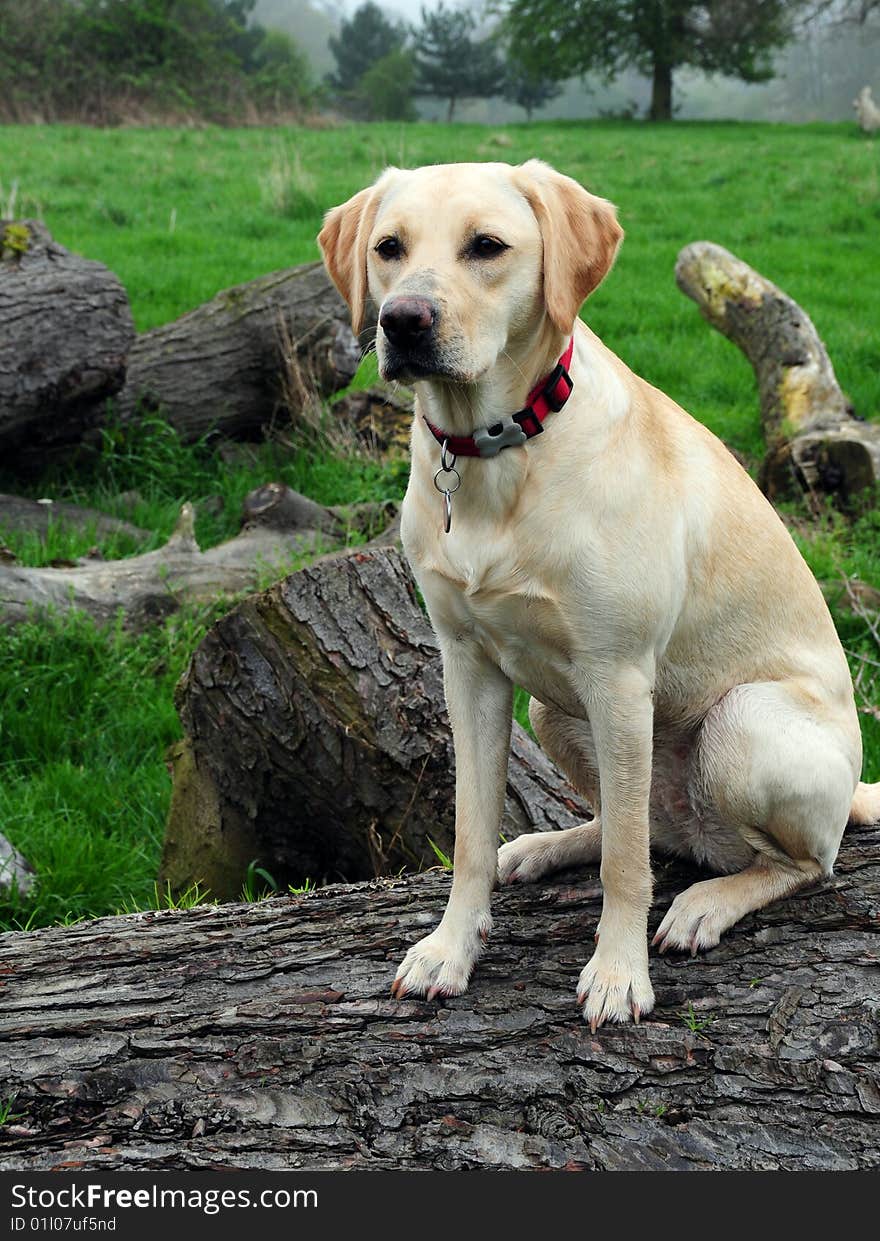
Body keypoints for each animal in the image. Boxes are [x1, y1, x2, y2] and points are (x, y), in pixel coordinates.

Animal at [315, 157, 878, 1027]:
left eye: (487, 246)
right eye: (388, 248)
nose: (404, 321)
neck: (496, 452)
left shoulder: (617, 676)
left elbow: (626, 870)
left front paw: (618, 974)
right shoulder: (467, 668)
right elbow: (472, 833)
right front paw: (450, 947)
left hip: (739, 726)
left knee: (797, 862)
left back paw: (706, 902)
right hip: (556, 712)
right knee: (634, 824)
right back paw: (547, 847)